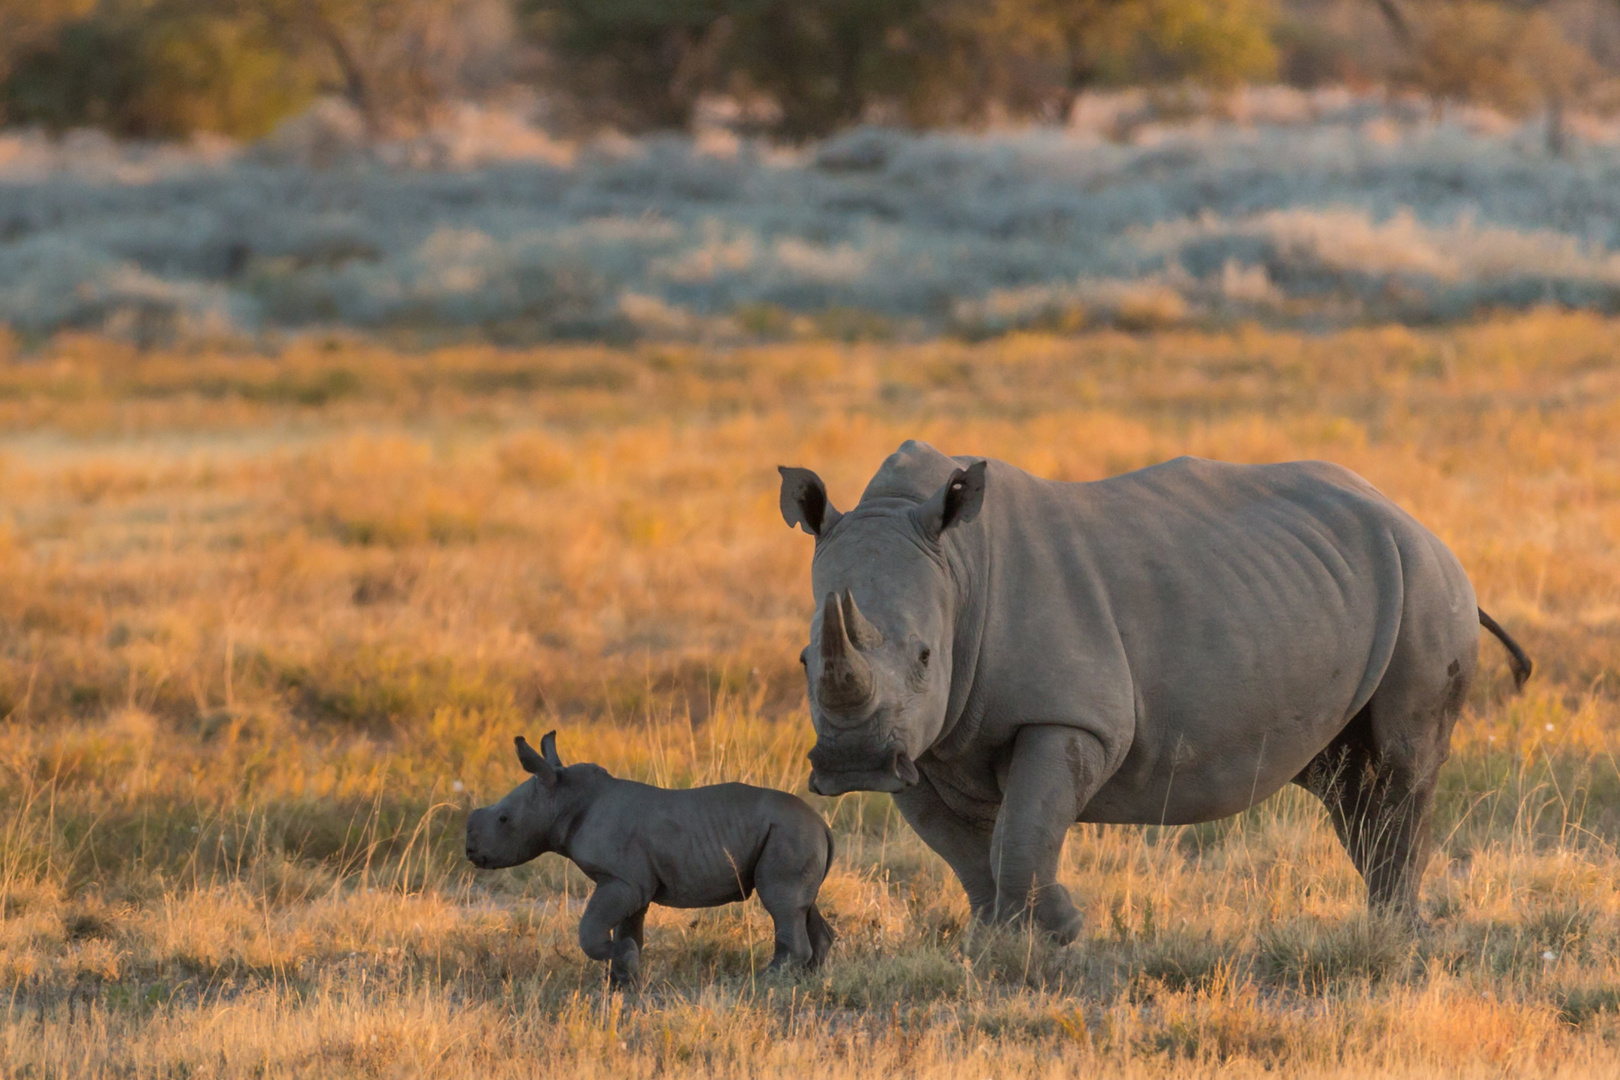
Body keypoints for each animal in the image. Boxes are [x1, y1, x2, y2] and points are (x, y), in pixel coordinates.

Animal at [466, 735, 835, 990]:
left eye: (503, 819)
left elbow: (590, 930)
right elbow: (627, 928)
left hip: (789, 833)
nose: (470, 852)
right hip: (794, 833)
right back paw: (809, 979)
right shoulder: (631, 884)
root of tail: (823, 824)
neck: (564, 797)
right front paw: (621, 981)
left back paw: (765, 982)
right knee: (801, 905)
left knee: (781, 903)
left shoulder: (621, 879)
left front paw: (625, 964)